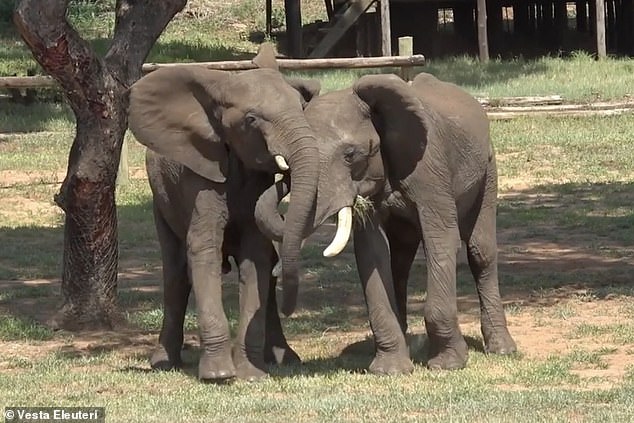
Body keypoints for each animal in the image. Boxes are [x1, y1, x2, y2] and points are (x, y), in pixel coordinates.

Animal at [125, 55, 318, 380]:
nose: (285, 171)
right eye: (251, 120)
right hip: (161, 202)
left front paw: (250, 374)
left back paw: (286, 358)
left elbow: (256, 258)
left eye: (302, 107)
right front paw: (218, 375)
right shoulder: (200, 176)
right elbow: (204, 250)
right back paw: (163, 363)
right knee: (175, 273)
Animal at [254, 72, 516, 374]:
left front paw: (448, 364)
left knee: (480, 252)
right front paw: (390, 370)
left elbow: (441, 240)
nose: (286, 309)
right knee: (400, 262)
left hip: (488, 169)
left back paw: (502, 349)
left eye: (351, 155)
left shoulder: (431, 169)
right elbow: (372, 252)